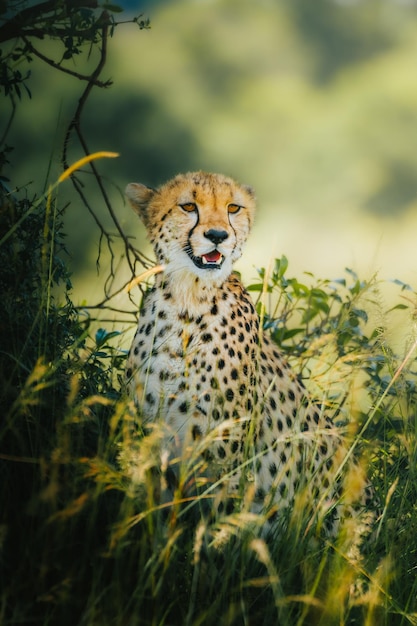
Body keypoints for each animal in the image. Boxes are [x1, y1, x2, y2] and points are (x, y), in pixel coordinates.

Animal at [124, 172, 374, 536]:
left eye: (233, 208)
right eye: (188, 206)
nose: (217, 236)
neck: (187, 299)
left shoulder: (223, 454)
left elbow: (214, 527)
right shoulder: (155, 440)